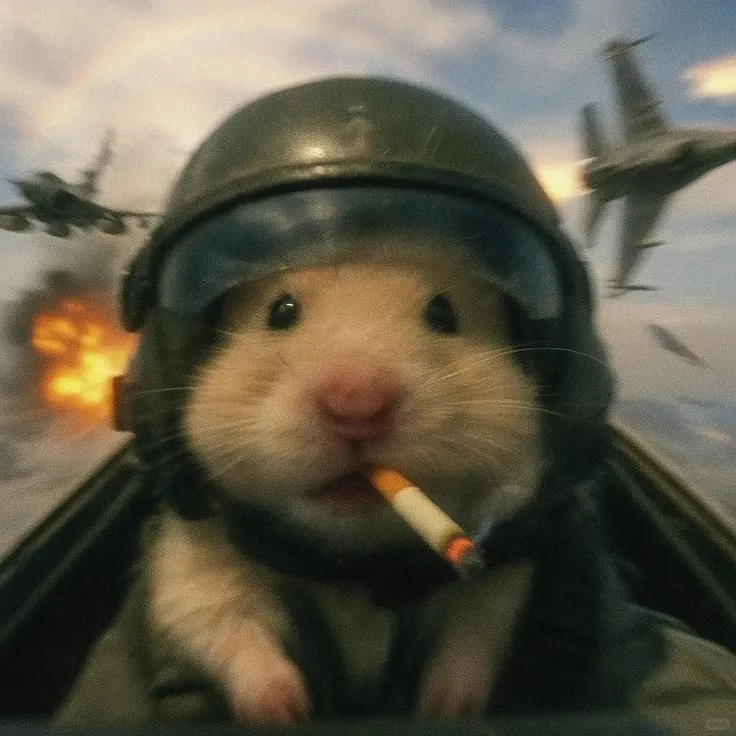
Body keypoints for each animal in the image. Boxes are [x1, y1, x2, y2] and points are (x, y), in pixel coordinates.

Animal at [145, 256, 546, 723]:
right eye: (281, 312)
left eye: (443, 315)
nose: (357, 405)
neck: (353, 563)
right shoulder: (196, 562)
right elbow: (229, 627)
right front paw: (287, 712)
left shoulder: (499, 576)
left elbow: (468, 639)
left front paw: (442, 711)